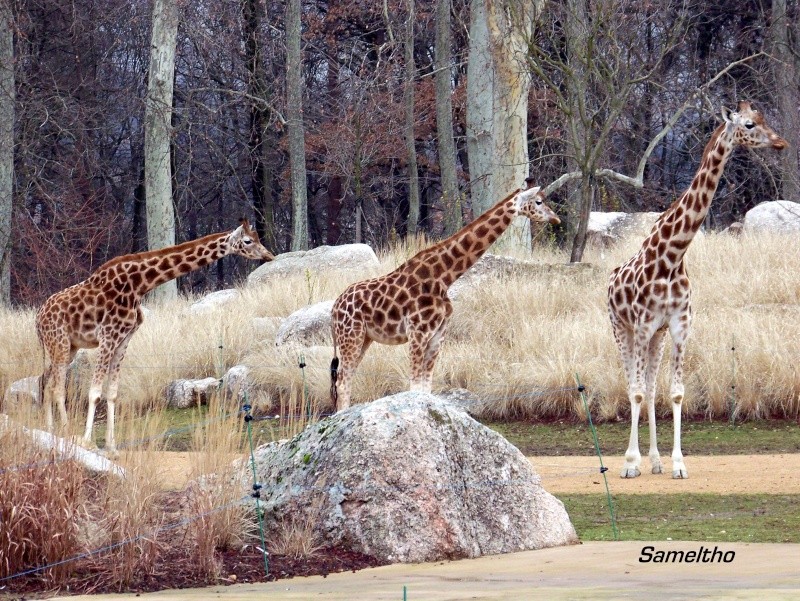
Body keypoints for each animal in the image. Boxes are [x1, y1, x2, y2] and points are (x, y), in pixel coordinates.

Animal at [35, 218, 272, 458]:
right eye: (248, 240)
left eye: (257, 238)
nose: (269, 255)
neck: (139, 285)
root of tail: (38, 318)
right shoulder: (107, 336)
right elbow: (94, 392)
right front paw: (87, 442)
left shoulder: (123, 340)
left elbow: (112, 393)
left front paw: (112, 448)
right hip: (60, 343)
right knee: (57, 387)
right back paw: (66, 433)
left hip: (65, 347)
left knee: (45, 382)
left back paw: (50, 431)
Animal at [328, 178, 560, 410]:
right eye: (538, 201)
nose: (556, 218)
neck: (443, 277)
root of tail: (334, 309)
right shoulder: (417, 333)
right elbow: (414, 387)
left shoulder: (437, 335)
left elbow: (426, 388)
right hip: (351, 337)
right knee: (342, 382)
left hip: (364, 339)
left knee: (345, 378)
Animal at [608, 102, 788, 478]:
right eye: (749, 124)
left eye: (763, 119)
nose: (780, 143)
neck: (672, 256)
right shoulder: (642, 326)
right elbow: (635, 392)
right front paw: (630, 463)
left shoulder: (678, 326)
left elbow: (675, 392)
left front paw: (677, 464)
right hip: (621, 328)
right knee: (632, 385)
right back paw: (635, 461)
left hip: (657, 337)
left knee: (650, 386)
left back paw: (656, 461)